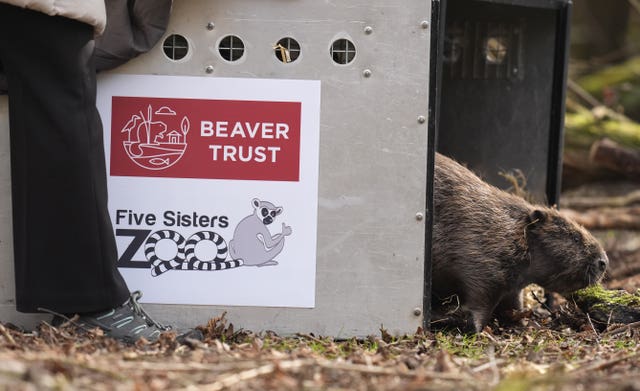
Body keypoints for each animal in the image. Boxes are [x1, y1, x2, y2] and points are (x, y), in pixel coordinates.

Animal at [432, 153, 608, 334]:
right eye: (575, 237)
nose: (603, 262)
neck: (511, 233)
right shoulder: (480, 262)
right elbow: (479, 303)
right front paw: (477, 329)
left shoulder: (513, 287)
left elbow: (514, 304)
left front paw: (524, 323)